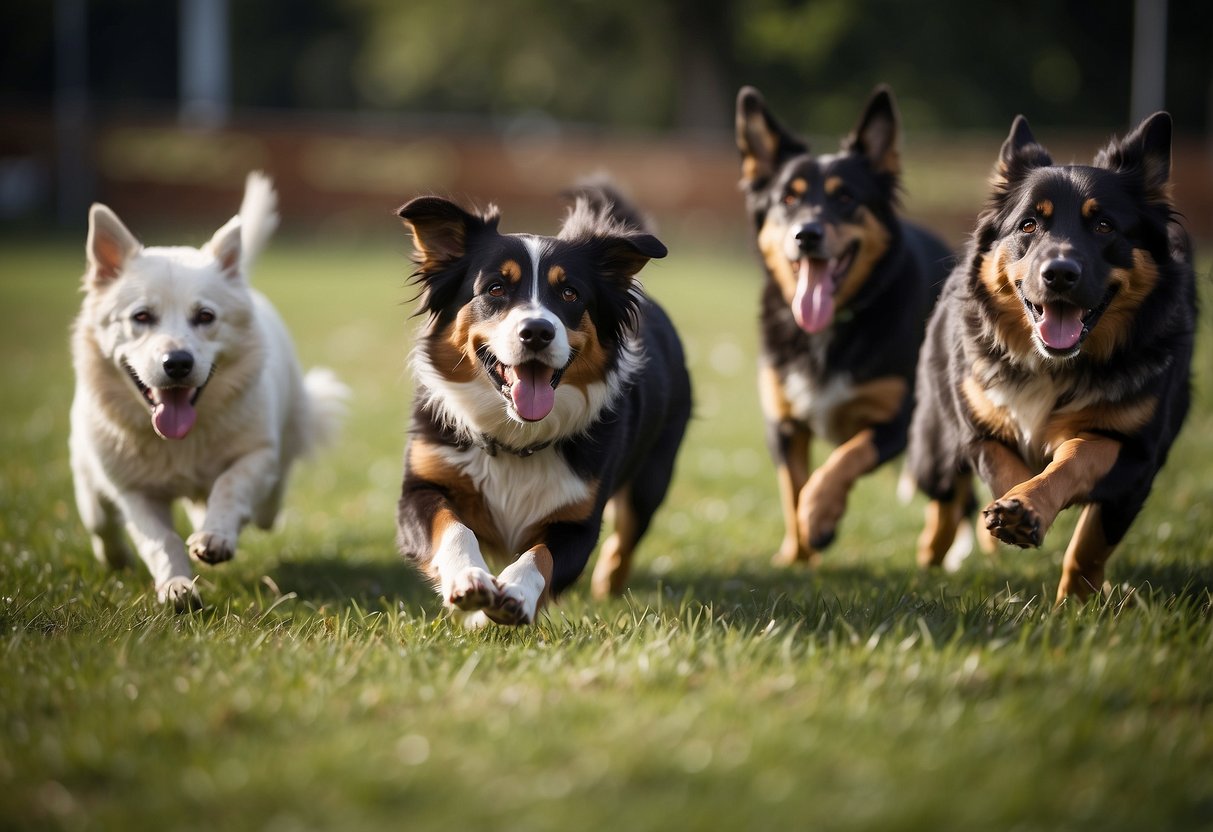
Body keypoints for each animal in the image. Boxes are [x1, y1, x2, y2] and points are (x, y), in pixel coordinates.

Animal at [912, 112, 1193, 606]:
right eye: (1028, 225)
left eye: (1104, 226)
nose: (1059, 274)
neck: (1056, 365)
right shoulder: (980, 430)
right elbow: (1004, 468)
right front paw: (1017, 509)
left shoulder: (1134, 452)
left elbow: (1084, 508)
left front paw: (1076, 602)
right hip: (934, 445)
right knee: (945, 496)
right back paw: (934, 551)